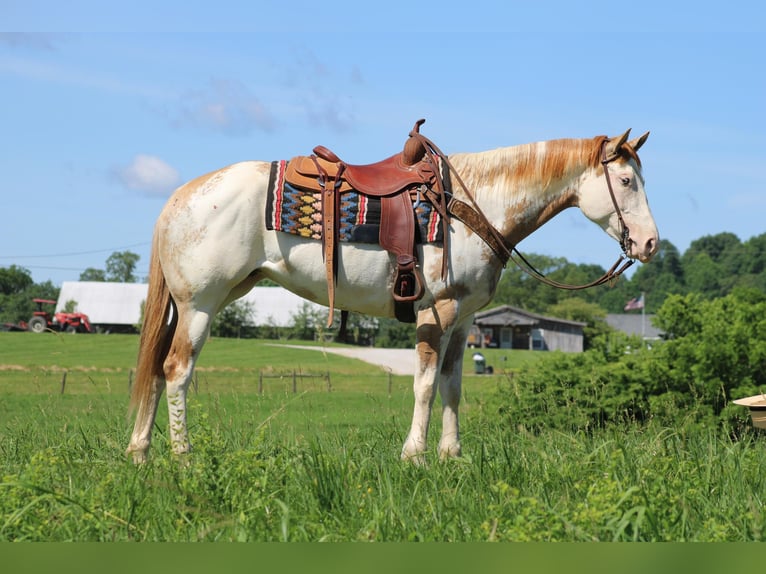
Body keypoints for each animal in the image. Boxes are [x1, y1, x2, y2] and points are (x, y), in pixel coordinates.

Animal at [127, 124, 660, 466]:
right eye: (626, 180)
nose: (651, 243)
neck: (472, 204)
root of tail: (179, 198)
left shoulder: (465, 320)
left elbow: (453, 385)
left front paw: (452, 455)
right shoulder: (436, 311)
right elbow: (424, 384)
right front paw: (415, 456)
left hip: (195, 302)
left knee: (155, 366)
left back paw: (140, 453)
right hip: (201, 304)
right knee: (177, 369)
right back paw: (184, 457)